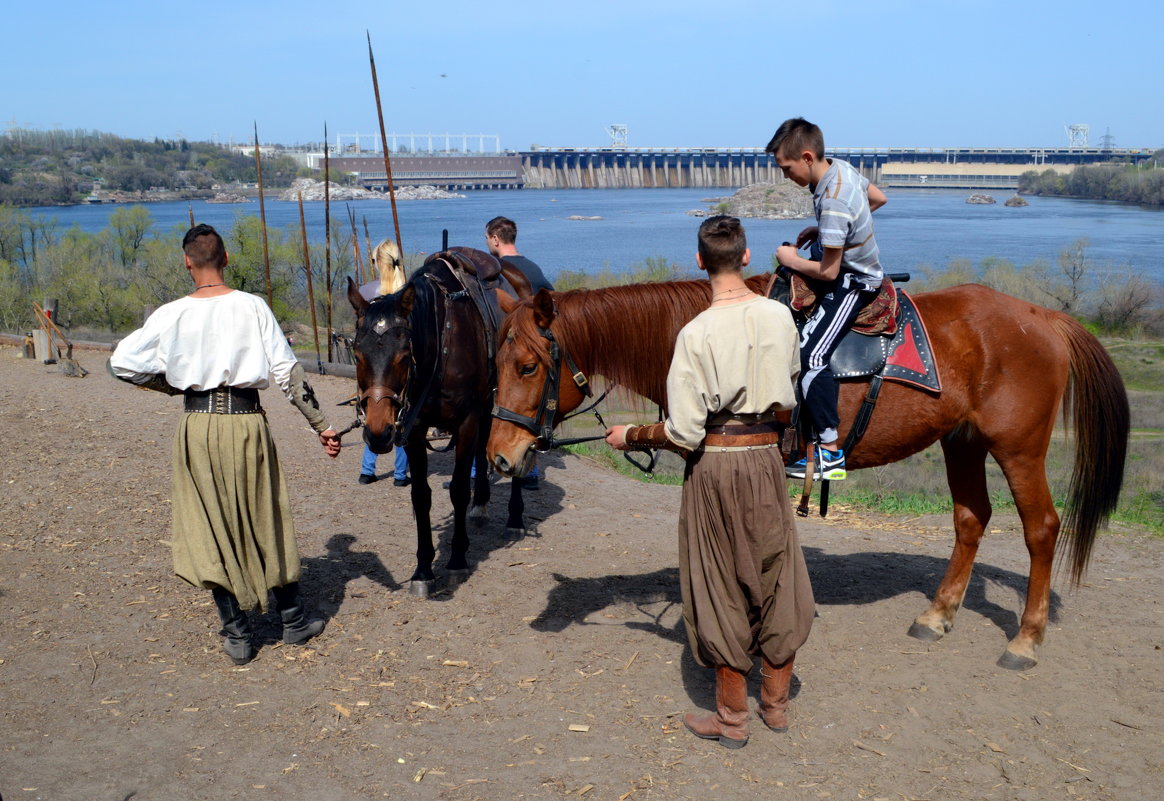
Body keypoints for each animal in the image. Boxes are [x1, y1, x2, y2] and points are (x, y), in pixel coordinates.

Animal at [344, 249, 528, 593]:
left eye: (404, 356)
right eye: (358, 355)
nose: (378, 433)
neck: (443, 342)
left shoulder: (466, 421)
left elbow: (457, 489)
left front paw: (456, 559)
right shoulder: (414, 428)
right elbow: (420, 495)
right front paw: (423, 569)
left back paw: (515, 517)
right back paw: (481, 504)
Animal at [484, 278, 1126, 665]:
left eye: (527, 365)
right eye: (496, 360)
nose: (499, 457)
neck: (710, 336)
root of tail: (1042, 316)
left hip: (1018, 449)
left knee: (1041, 529)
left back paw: (1026, 639)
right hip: (963, 443)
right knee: (971, 520)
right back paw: (938, 615)